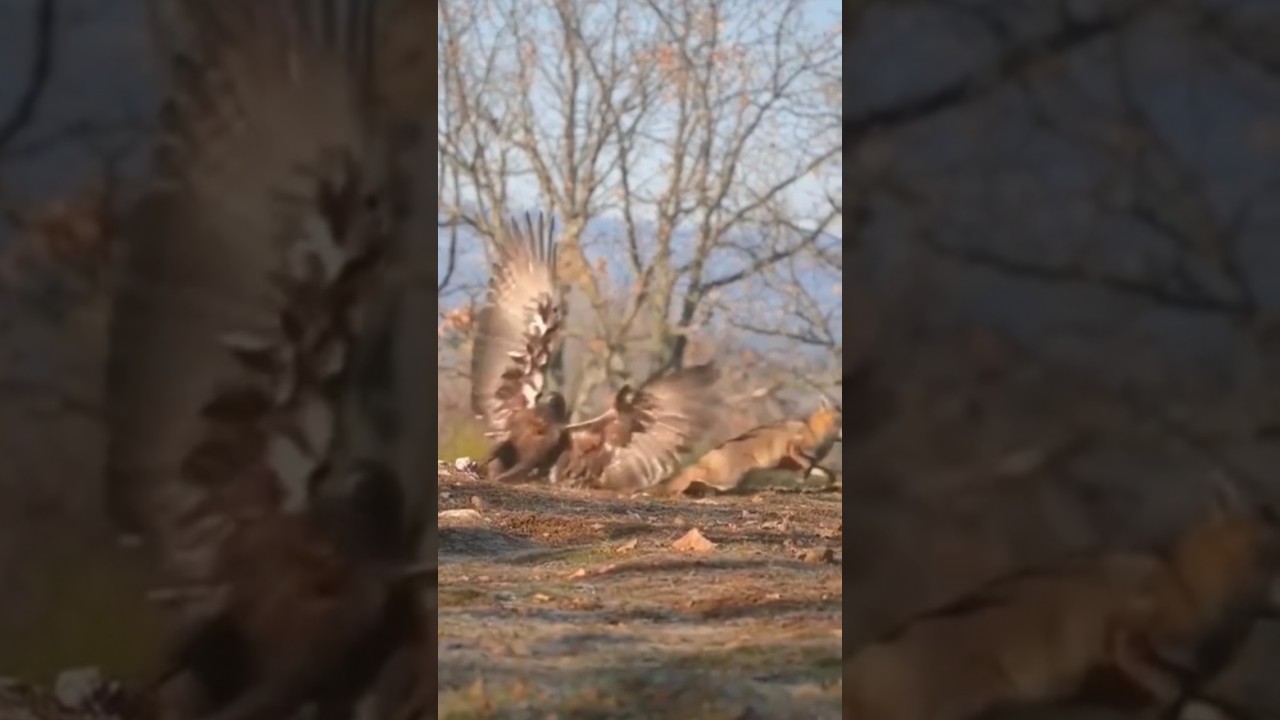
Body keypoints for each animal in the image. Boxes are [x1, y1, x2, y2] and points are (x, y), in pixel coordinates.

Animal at [659, 399, 843, 496]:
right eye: (840, 419)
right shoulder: (793, 447)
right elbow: (808, 462)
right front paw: (804, 476)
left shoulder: (799, 463)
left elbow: (823, 470)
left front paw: (827, 478)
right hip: (727, 479)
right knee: (695, 476)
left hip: (734, 479)